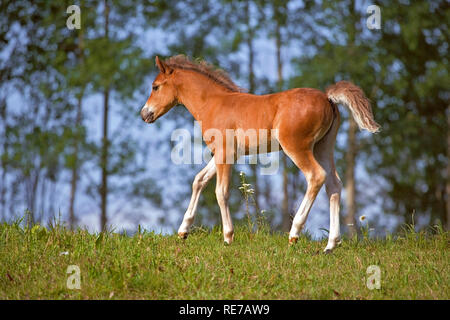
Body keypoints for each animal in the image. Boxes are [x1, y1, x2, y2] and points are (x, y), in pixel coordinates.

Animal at [142, 55, 380, 252]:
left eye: (155, 87)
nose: (144, 114)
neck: (212, 103)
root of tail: (328, 98)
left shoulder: (225, 153)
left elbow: (221, 191)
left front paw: (228, 237)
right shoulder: (223, 154)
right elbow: (198, 180)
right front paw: (183, 231)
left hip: (297, 147)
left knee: (316, 176)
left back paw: (294, 234)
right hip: (323, 146)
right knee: (334, 184)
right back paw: (331, 244)